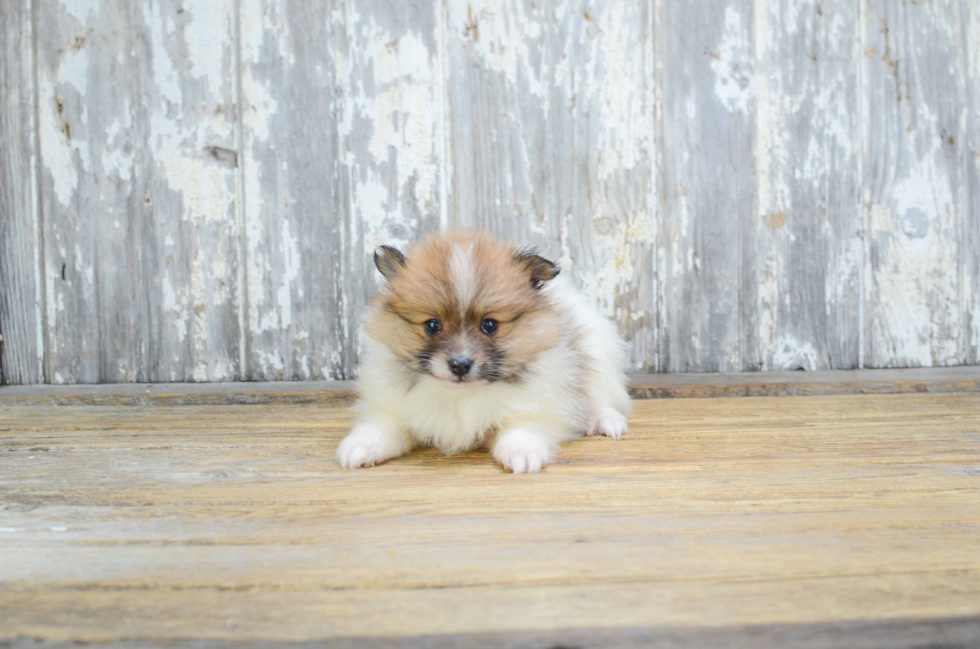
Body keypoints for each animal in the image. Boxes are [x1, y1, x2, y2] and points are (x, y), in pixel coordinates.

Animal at [334, 230, 628, 474]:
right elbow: (382, 427)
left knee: (599, 394)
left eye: (489, 325)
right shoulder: (393, 407)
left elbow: (523, 427)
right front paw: (360, 447)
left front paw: (522, 453)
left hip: (597, 354)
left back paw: (605, 420)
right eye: (432, 325)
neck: (461, 397)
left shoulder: (541, 407)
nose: (460, 365)